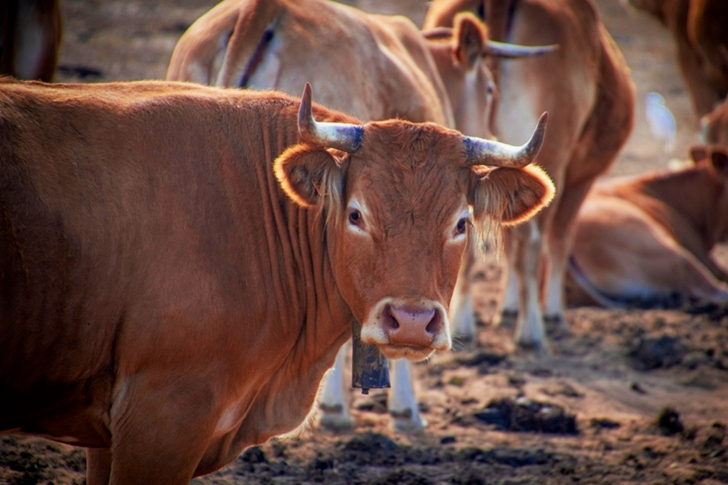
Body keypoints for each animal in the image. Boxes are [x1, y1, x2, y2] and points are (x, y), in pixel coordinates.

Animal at [424, 0, 636, 351]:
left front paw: (507, 306)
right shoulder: (578, 181)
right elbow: (558, 239)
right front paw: (551, 312)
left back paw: (463, 325)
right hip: (551, 160)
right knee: (535, 241)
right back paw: (531, 330)